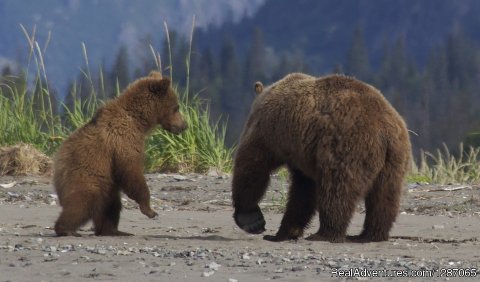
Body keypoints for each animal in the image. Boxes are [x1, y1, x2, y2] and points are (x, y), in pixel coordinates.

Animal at [53, 70, 187, 236]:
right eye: (176, 107)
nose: (184, 125)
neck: (138, 121)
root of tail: (57, 166)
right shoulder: (123, 139)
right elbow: (131, 171)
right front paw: (150, 210)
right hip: (86, 175)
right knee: (82, 202)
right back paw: (66, 229)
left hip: (106, 185)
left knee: (110, 206)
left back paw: (113, 230)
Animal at [232, 72, 408, 242]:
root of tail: (384, 130)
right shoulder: (301, 156)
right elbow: (303, 191)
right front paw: (283, 233)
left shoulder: (270, 131)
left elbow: (253, 164)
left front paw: (251, 219)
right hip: (393, 160)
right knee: (384, 196)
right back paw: (369, 235)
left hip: (348, 147)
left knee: (337, 190)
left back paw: (325, 233)